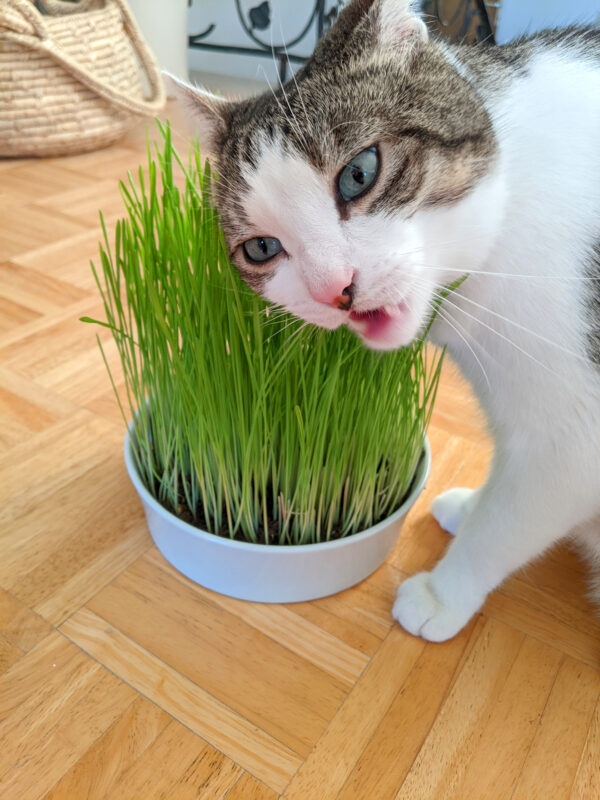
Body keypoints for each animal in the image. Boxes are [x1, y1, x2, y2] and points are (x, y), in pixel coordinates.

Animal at [169, 0, 600, 640]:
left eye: (359, 173)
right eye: (262, 249)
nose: (335, 290)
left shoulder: (575, 437)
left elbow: (508, 523)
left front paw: (444, 592)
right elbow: (507, 496)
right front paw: (472, 505)